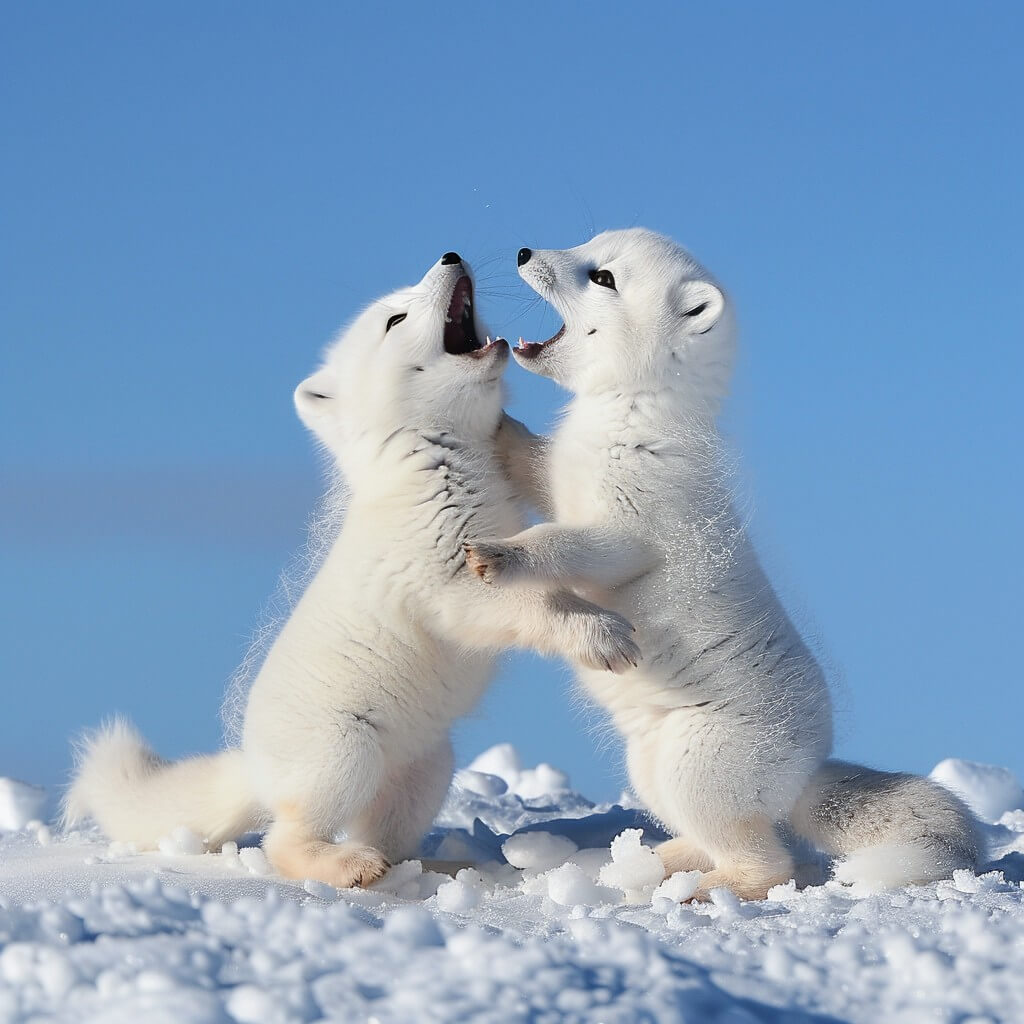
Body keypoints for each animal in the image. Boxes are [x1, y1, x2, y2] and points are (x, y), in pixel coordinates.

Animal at [64, 249, 634, 888]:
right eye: (395, 318)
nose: (451, 254)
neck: (438, 460)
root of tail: (253, 766)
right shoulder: (446, 584)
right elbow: (535, 603)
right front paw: (604, 636)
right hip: (344, 753)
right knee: (287, 842)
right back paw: (348, 866)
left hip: (427, 767)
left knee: (391, 840)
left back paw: (446, 867)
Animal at [466, 230, 983, 897]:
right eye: (588, 244)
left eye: (602, 276)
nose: (525, 253)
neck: (631, 412)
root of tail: (806, 772)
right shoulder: (563, 485)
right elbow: (531, 460)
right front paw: (498, 424)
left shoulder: (627, 535)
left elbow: (555, 543)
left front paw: (497, 554)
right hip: (652, 770)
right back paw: (645, 862)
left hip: (696, 770)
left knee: (768, 866)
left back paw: (696, 890)